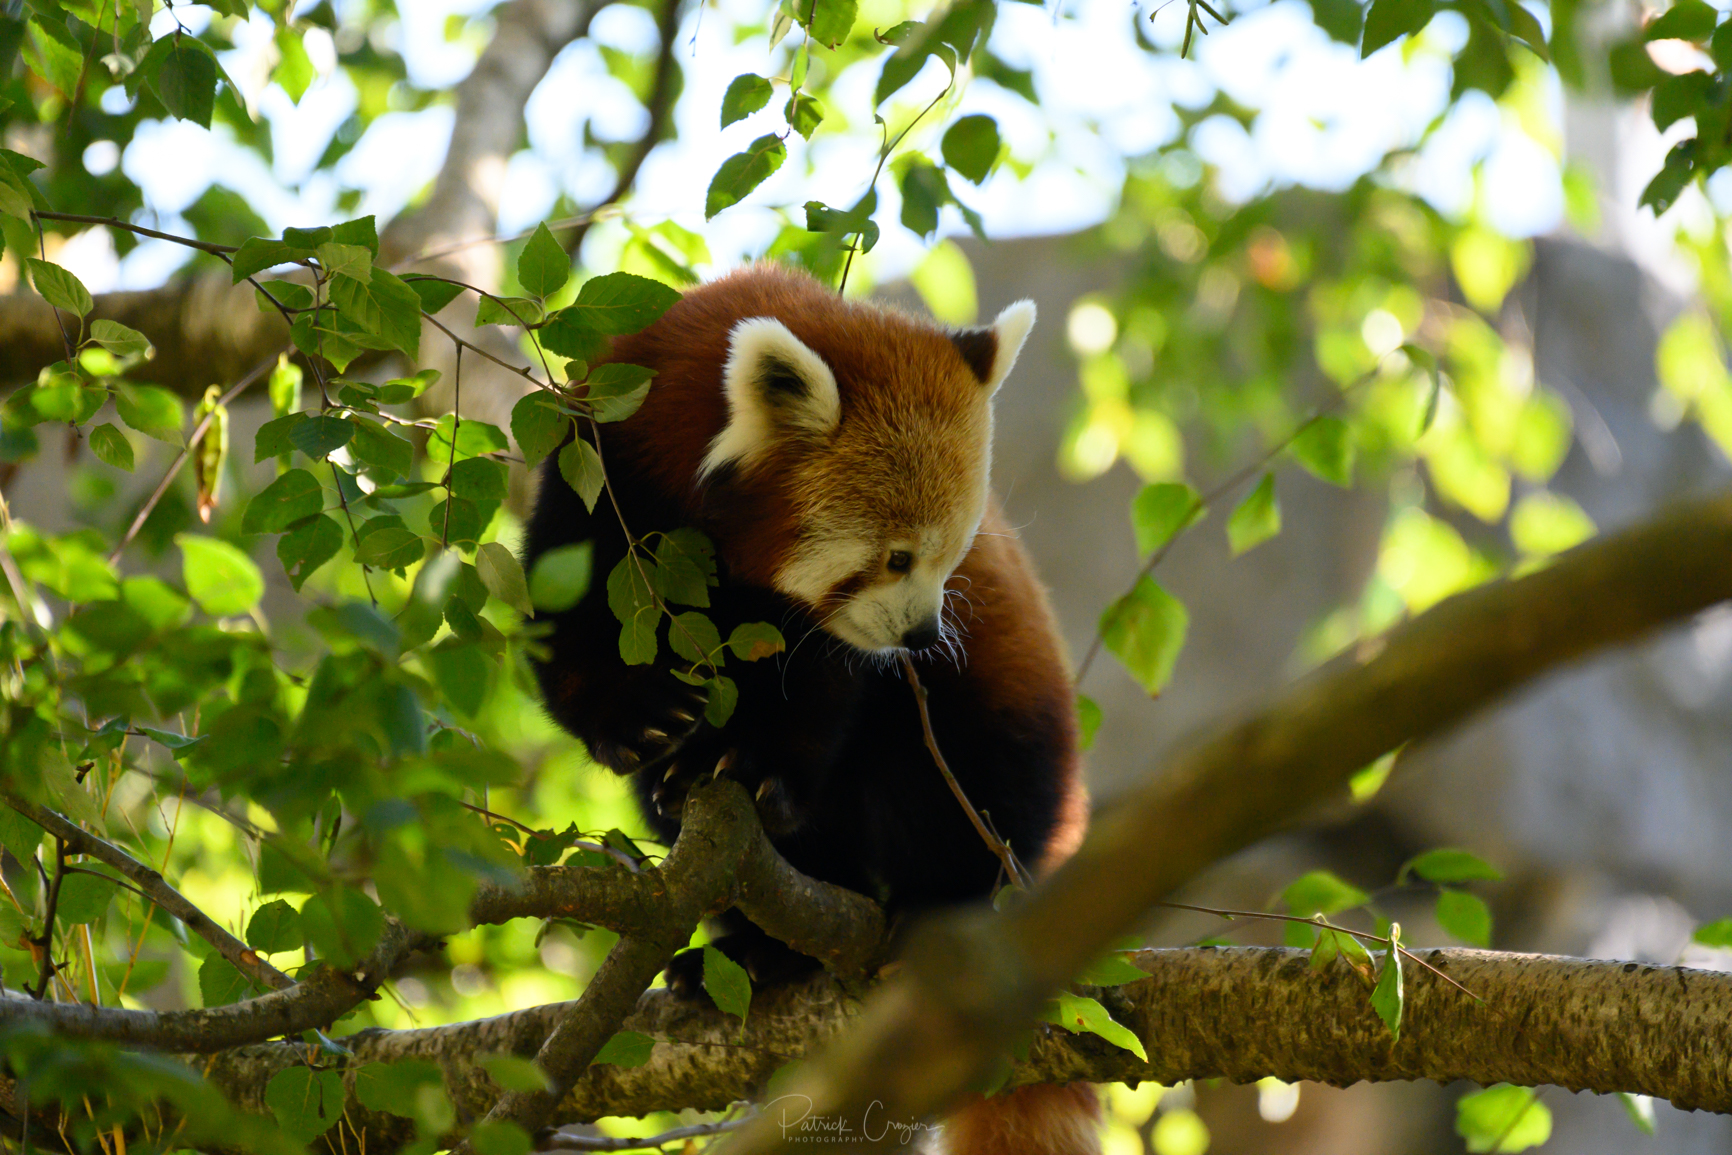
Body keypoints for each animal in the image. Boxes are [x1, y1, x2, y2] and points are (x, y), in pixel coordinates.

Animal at [523, 264, 1094, 1155]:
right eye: (896, 557)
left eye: (953, 554)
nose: (925, 632)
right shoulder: (604, 460)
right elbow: (570, 609)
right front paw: (634, 723)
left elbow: (820, 697)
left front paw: (759, 771)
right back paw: (759, 951)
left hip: (1004, 715)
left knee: (972, 792)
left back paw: (936, 906)